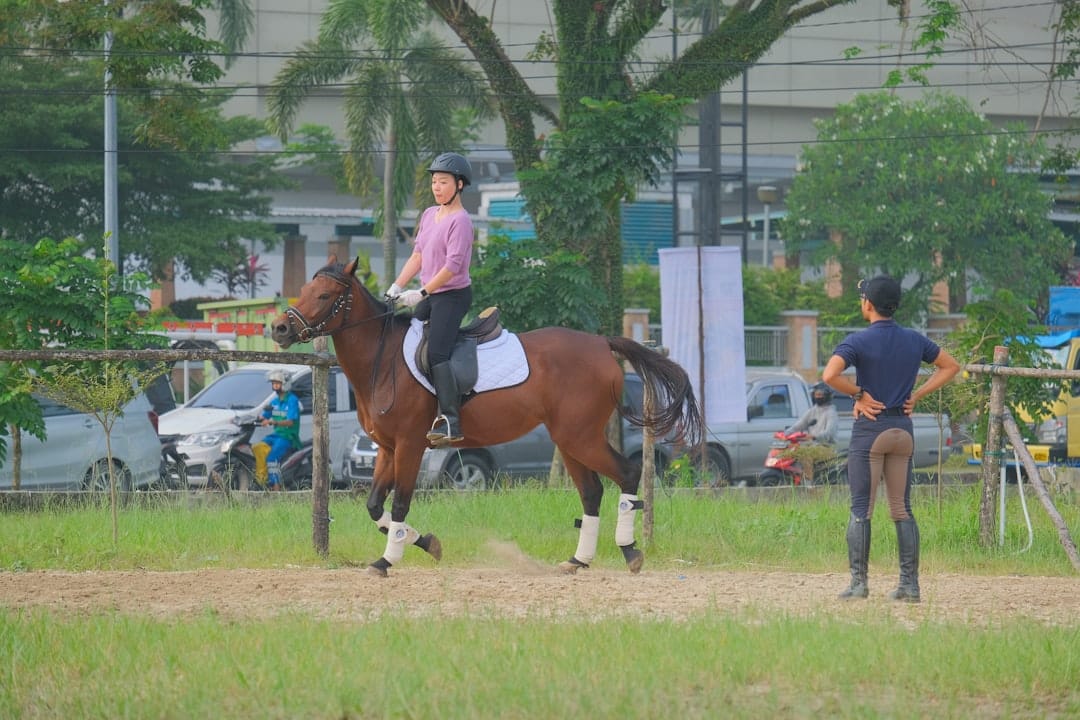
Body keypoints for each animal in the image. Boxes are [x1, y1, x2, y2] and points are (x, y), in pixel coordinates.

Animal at [274, 255, 704, 578]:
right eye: (306, 290)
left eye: (324, 294)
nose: (278, 328)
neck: (384, 360)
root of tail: (601, 343)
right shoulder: (387, 449)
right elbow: (376, 506)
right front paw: (425, 543)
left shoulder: (411, 445)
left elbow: (398, 504)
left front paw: (386, 560)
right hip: (569, 439)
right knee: (592, 491)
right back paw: (577, 560)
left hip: (580, 436)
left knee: (627, 474)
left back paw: (630, 551)